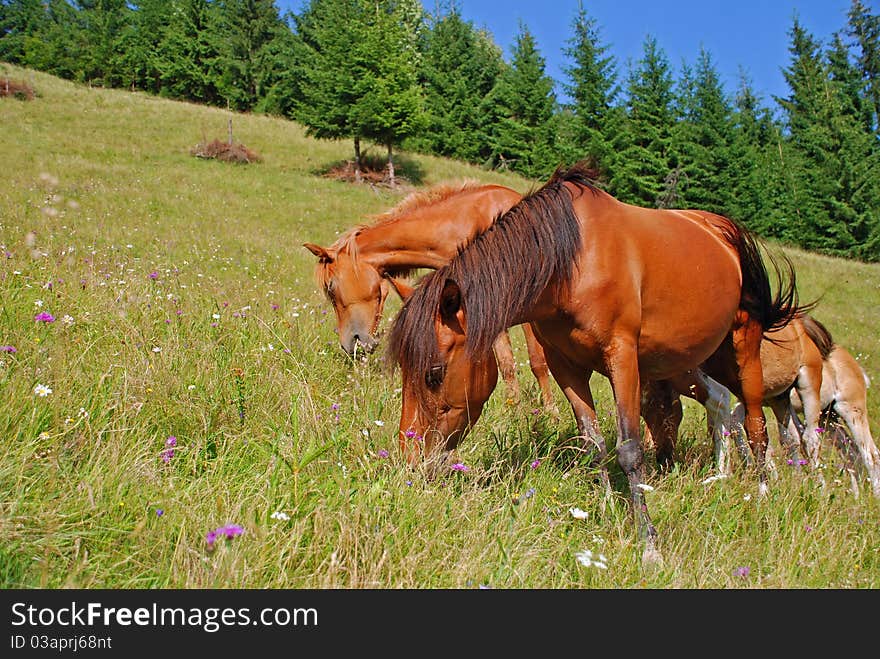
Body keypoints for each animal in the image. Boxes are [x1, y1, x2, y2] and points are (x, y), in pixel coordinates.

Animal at [302, 180, 556, 416]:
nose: (349, 345)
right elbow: (507, 364)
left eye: (331, 288)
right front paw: (513, 411)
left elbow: (538, 361)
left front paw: (551, 414)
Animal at [384, 162, 804, 564]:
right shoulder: (565, 365)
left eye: (434, 374)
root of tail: (723, 231)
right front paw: (607, 510)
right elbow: (594, 443)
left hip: (744, 347)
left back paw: (762, 492)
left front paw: (648, 543)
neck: (571, 262)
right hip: (698, 357)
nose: (410, 460)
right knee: (711, 407)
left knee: (755, 424)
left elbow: (629, 450)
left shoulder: (622, 358)